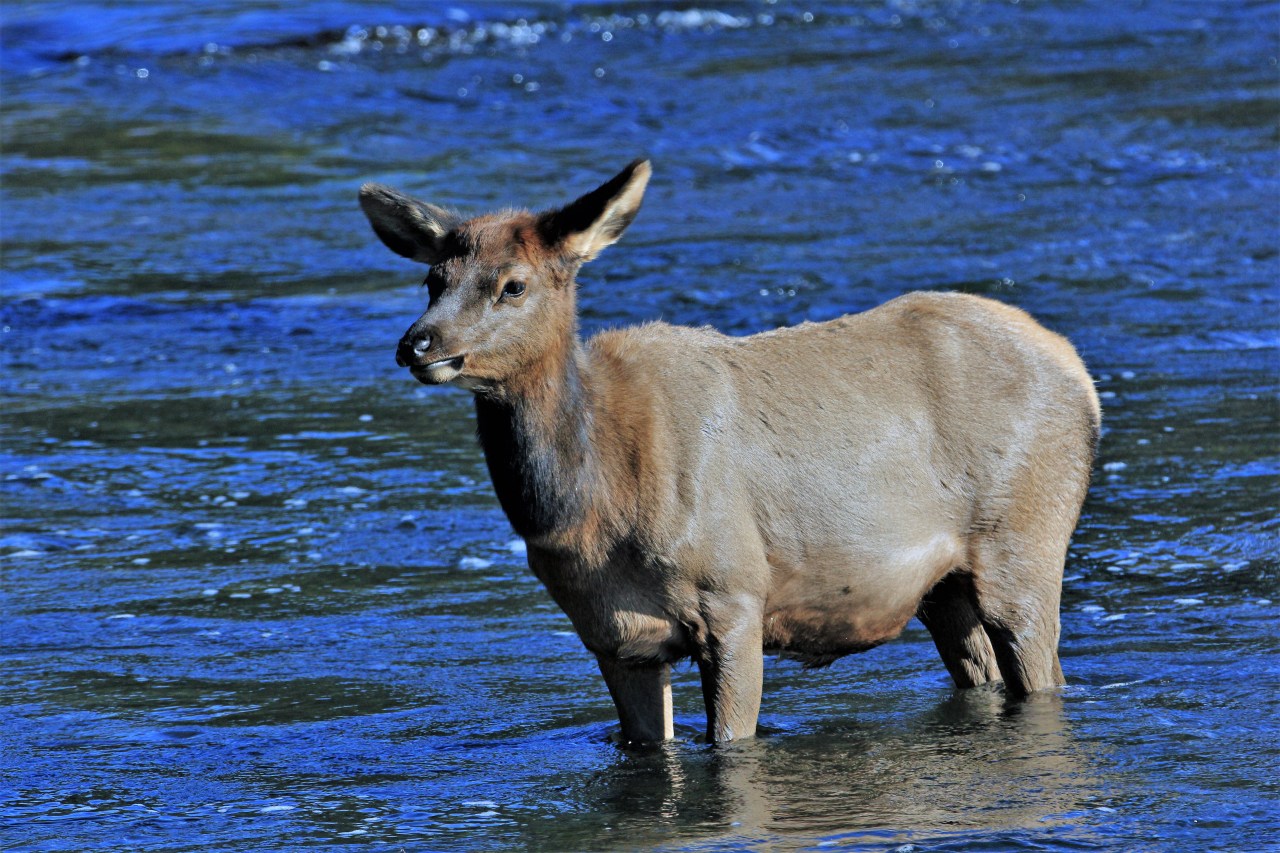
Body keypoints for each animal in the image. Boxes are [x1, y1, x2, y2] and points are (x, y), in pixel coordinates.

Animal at [358, 160, 1100, 745]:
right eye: (432, 280)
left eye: (513, 284)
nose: (418, 343)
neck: (589, 509)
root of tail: (1080, 373)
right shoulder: (613, 635)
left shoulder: (734, 595)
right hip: (943, 589)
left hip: (1024, 544)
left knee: (1043, 670)